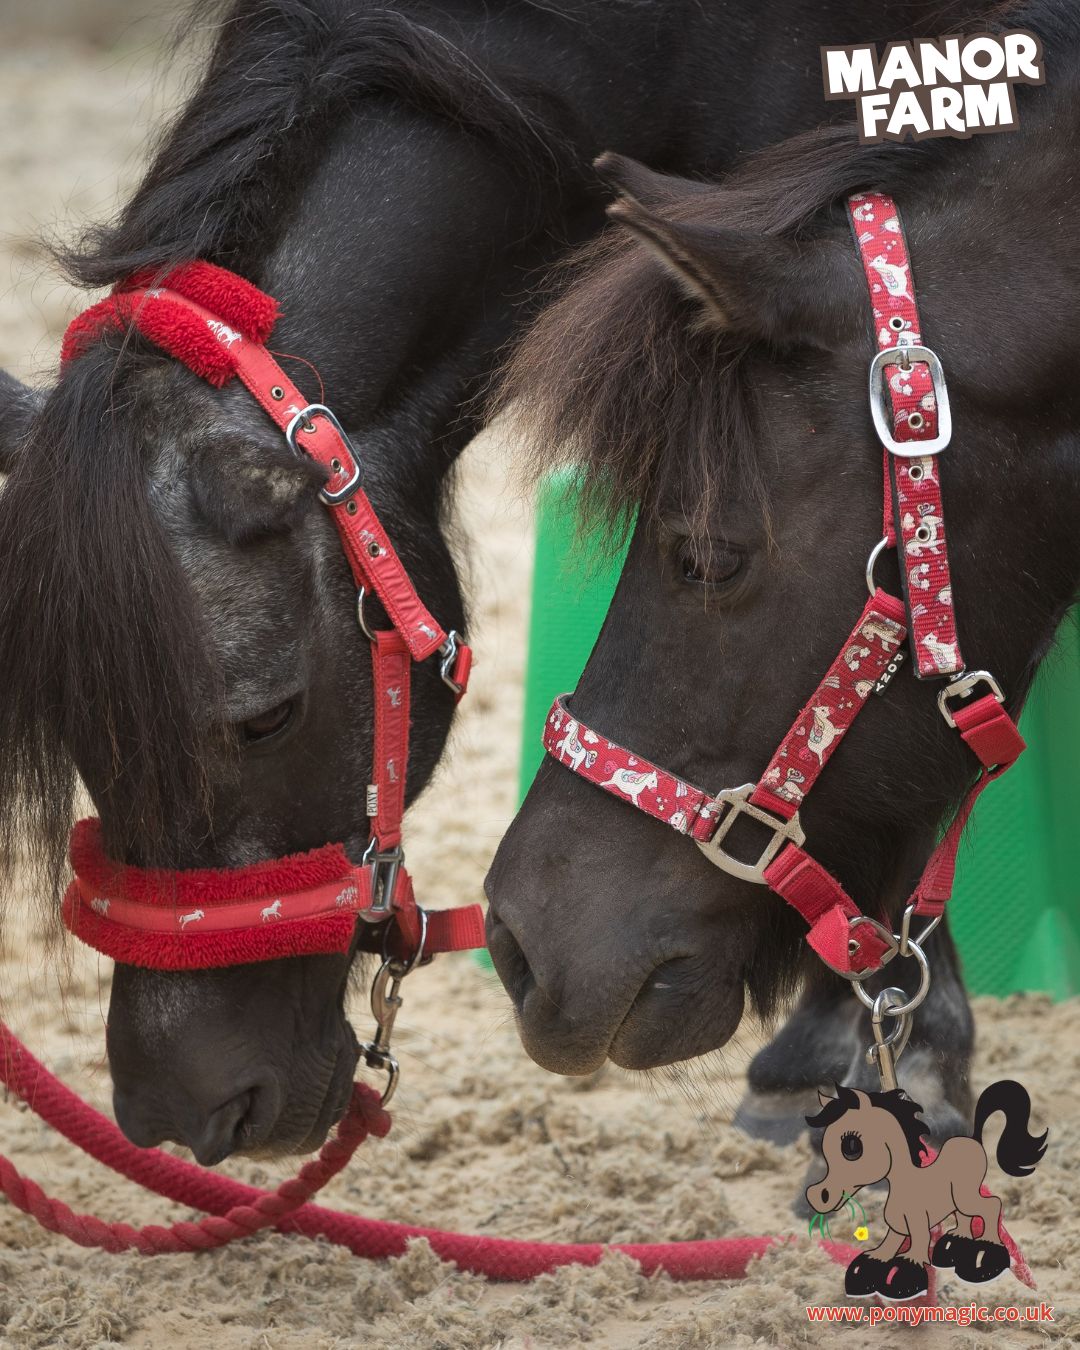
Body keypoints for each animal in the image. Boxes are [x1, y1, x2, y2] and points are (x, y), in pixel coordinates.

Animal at [806, 1080, 1047, 1300]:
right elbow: (883, 1252)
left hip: (967, 1197)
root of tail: (975, 1140)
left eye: (852, 1147)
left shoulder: (919, 1227)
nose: (817, 1195)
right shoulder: (897, 1230)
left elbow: (914, 1255)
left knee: (991, 1206)